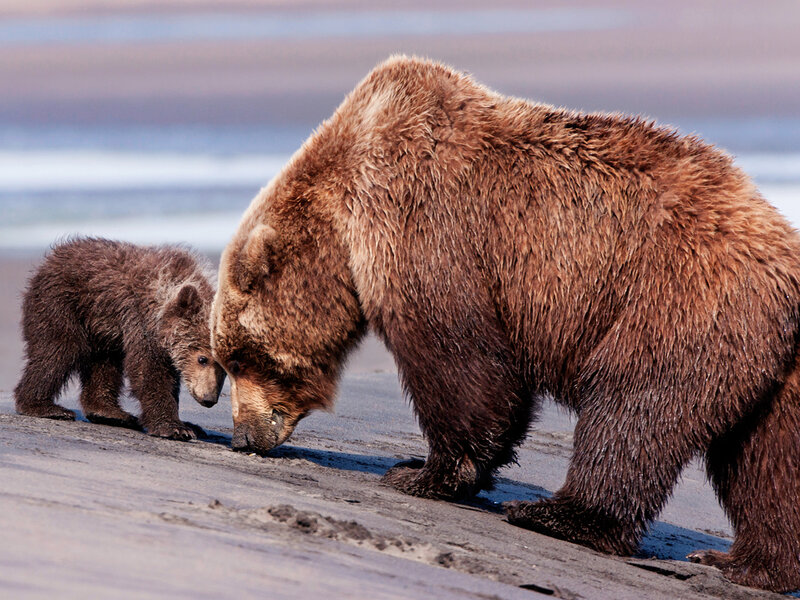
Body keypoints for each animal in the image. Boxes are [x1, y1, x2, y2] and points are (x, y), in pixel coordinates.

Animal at [15, 237, 226, 440]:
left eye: (224, 370)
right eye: (202, 359)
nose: (209, 399)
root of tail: (52, 257)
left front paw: (190, 425)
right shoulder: (141, 319)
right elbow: (149, 370)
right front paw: (174, 428)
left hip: (101, 327)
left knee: (103, 363)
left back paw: (111, 413)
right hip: (62, 302)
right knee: (59, 350)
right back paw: (43, 406)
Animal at [209, 56, 800, 592]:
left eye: (239, 358)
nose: (243, 437)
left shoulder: (423, 221)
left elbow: (461, 361)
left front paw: (422, 472)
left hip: (676, 300)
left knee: (634, 405)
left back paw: (559, 515)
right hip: (770, 364)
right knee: (766, 463)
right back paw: (741, 563)